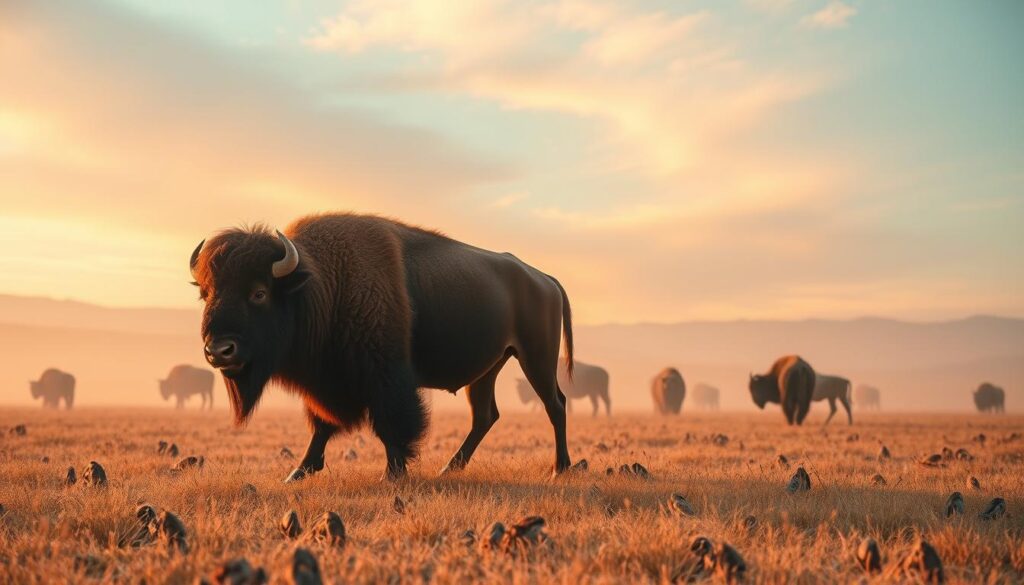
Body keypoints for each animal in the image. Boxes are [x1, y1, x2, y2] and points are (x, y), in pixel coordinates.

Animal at [189, 214, 574, 481]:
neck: (322, 284)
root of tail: (544, 280)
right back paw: (450, 468)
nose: (219, 351)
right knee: (485, 416)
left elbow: (393, 423)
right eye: (206, 293)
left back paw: (560, 467)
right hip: (488, 370)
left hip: (536, 358)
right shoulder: (326, 383)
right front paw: (298, 472)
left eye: (259, 292)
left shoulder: (386, 378)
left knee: (555, 405)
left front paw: (392, 472)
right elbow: (321, 426)